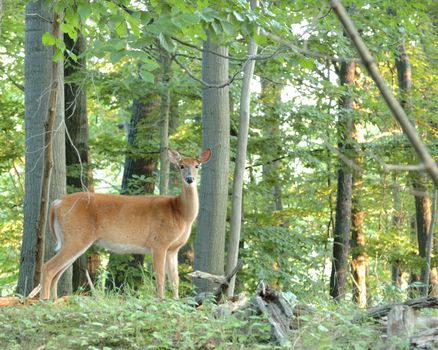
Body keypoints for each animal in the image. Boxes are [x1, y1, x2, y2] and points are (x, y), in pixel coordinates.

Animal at [40, 149, 211, 300]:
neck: (180, 213)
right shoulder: (159, 242)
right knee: (48, 268)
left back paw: (55, 300)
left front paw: (176, 301)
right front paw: (161, 300)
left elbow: (175, 279)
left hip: (73, 239)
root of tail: (56, 203)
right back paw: (44, 300)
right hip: (76, 236)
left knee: (57, 272)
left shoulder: (173, 249)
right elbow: (160, 276)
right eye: (181, 166)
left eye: (197, 165)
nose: (190, 179)